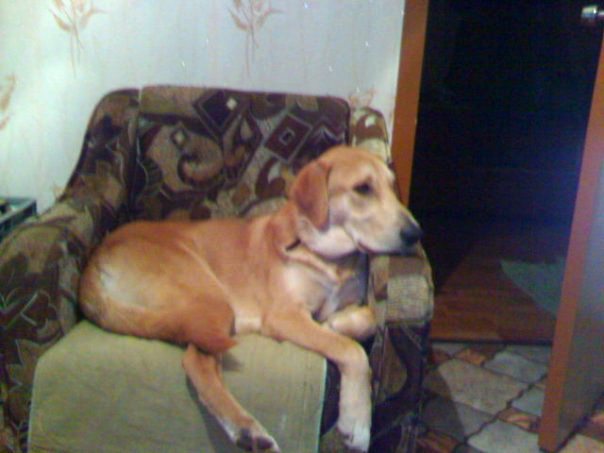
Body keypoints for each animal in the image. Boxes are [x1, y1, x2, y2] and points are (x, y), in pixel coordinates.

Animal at [78, 146, 422, 452]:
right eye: (363, 188)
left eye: (393, 188)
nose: (416, 234)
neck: (327, 257)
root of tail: (94, 262)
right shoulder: (285, 315)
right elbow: (353, 352)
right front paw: (357, 422)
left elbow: (367, 319)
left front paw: (337, 323)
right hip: (213, 299)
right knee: (196, 363)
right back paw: (248, 429)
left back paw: (246, 431)